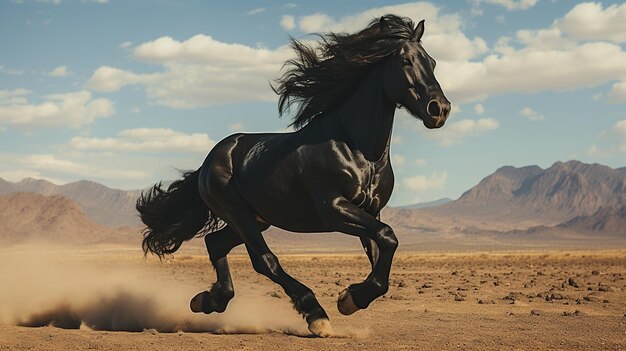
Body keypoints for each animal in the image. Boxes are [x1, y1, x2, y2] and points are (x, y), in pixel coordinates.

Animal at [136, 15, 448, 340]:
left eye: (433, 62)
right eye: (405, 61)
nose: (439, 109)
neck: (359, 150)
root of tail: (211, 159)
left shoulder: (370, 212)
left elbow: (382, 254)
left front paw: (350, 298)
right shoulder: (333, 209)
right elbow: (388, 236)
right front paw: (348, 299)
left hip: (256, 218)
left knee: (215, 243)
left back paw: (207, 300)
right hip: (237, 213)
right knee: (264, 261)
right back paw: (315, 315)